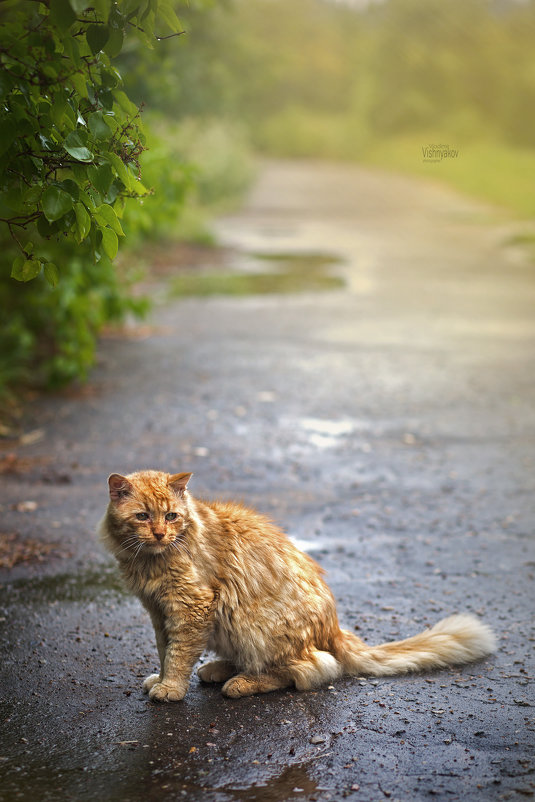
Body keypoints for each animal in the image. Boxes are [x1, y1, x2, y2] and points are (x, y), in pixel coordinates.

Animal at [100, 468, 498, 700]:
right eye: (143, 516)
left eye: (171, 516)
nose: (159, 533)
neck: (151, 560)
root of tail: (334, 627)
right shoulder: (159, 611)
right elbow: (165, 650)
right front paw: (163, 678)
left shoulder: (191, 607)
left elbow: (179, 653)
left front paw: (170, 688)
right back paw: (221, 669)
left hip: (249, 621)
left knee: (310, 669)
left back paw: (242, 682)